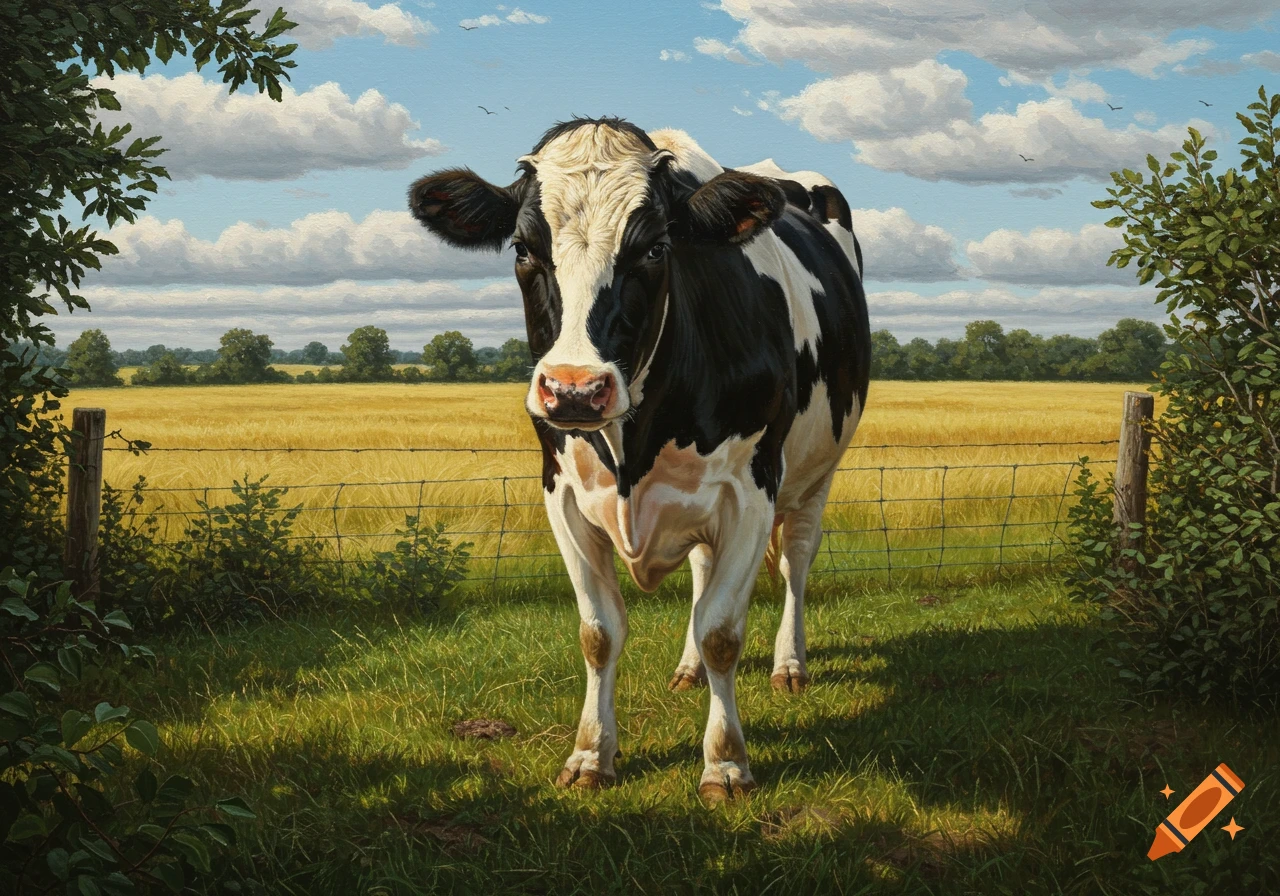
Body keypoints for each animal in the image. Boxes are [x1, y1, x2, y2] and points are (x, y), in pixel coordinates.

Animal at [408, 117, 870, 803]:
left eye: (655, 249)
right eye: (522, 248)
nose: (574, 389)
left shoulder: (750, 491)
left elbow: (722, 632)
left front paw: (725, 763)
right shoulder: (562, 495)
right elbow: (600, 632)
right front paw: (590, 754)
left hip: (816, 475)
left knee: (795, 562)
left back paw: (790, 664)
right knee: (702, 575)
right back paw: (687, 670)